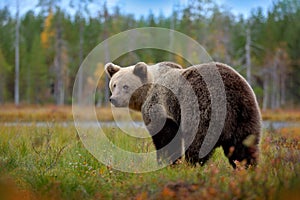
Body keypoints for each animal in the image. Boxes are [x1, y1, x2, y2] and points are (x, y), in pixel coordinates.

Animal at [105, 61, 260, 168]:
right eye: (114, 84)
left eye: (125, 86)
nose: (113, 99)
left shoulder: (162, 105)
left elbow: (166, 137)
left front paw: (166, 162)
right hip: (245, 113)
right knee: (243, 146)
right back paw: (246, 167)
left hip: (204, 109)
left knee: (198, 143)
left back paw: (192, 165)